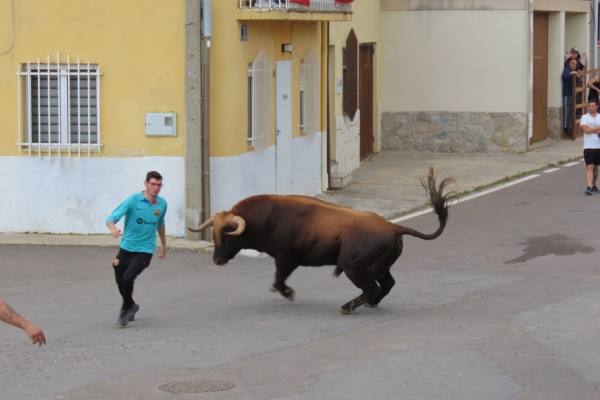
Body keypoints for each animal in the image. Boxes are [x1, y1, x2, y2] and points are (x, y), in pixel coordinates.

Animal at [190, 167, 452, 314]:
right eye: (213, 234)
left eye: (227, 234)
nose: (217, 260)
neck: (268, 215)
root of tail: (393, 226)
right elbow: (277, 280)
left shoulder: (285, 259)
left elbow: (278, 280)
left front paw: (288, 294)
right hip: (379, 267)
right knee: (386, 285)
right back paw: (370, 303)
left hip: (354, 268)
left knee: (371, 288)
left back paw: (347, 307)